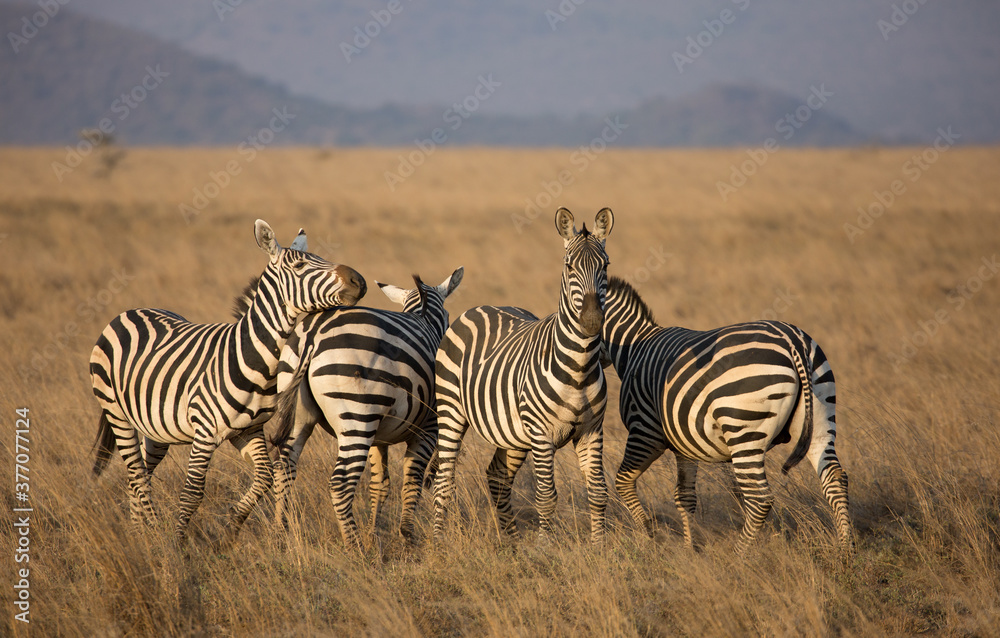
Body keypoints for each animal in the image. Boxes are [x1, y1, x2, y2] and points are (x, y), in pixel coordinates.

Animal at [89, 220, 367, 543]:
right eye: (300, 265)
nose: (360, 280)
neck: (253, 360)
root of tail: (130, 311)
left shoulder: (249, 430)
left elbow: (265, 477)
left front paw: (231, 528)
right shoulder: (205, 432)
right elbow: (192, 493)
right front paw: (177, 544)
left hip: (156, 426)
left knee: (141, 472)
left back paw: (139, 531)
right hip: (116, 412)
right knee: (136, 474)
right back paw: (154, 530)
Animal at [231, 267, 464, 546]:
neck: (423, 318)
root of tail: (313, 333)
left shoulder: (378, 437)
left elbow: (380, 484)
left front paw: (374, 535)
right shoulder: (427, 428)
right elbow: (412, 481)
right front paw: (407, 538)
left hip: (299, 414)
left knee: (284, 469)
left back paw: (280, 534)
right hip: (357, 417)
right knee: (340, 484)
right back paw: (355, 547)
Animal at [433, 208, 613, 544]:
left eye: (605, 266)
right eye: (569, 266)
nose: (592, 321)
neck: (579, 368)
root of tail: (479, 307)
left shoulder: (591, 431)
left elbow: (598, 492)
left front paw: (601, 547)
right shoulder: (542, 435)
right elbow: (546, 496)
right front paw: (545, 545)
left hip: (512, 434)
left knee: (497, 476)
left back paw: (511, 542)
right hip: (451, 411)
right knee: (444, 480)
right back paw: (436, 541)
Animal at [602, 276, 853, 554]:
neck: (634, 347)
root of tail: (792, 341)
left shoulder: (644, 431)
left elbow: (623, 482)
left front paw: (651, 536)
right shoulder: (685, 444)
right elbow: (684, 496)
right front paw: (691, 550)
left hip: (744, 429)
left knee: (759, 499)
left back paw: (739, 555)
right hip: (820, 416)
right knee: (834, 479)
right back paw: (846, 551)